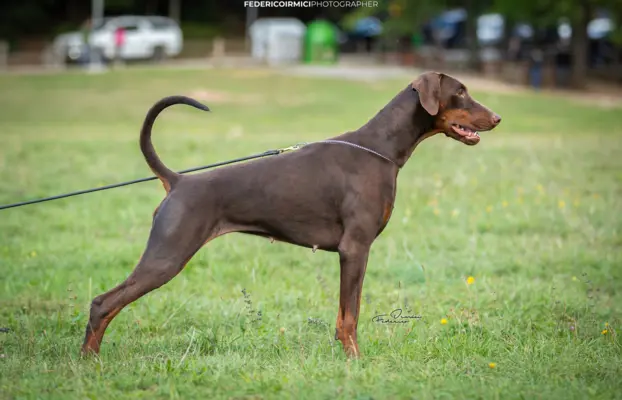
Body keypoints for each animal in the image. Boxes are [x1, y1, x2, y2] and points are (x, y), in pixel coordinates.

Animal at [81, 70, 502, 358]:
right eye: (460, 92)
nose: (497, 118)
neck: (380, 148)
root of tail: (179, 180)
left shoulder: (358, 253)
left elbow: (350, 310)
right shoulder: (355, 248)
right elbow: (349, 316)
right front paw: (355, 361)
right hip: (167, 255)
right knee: (103, 303)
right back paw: (89, 362)